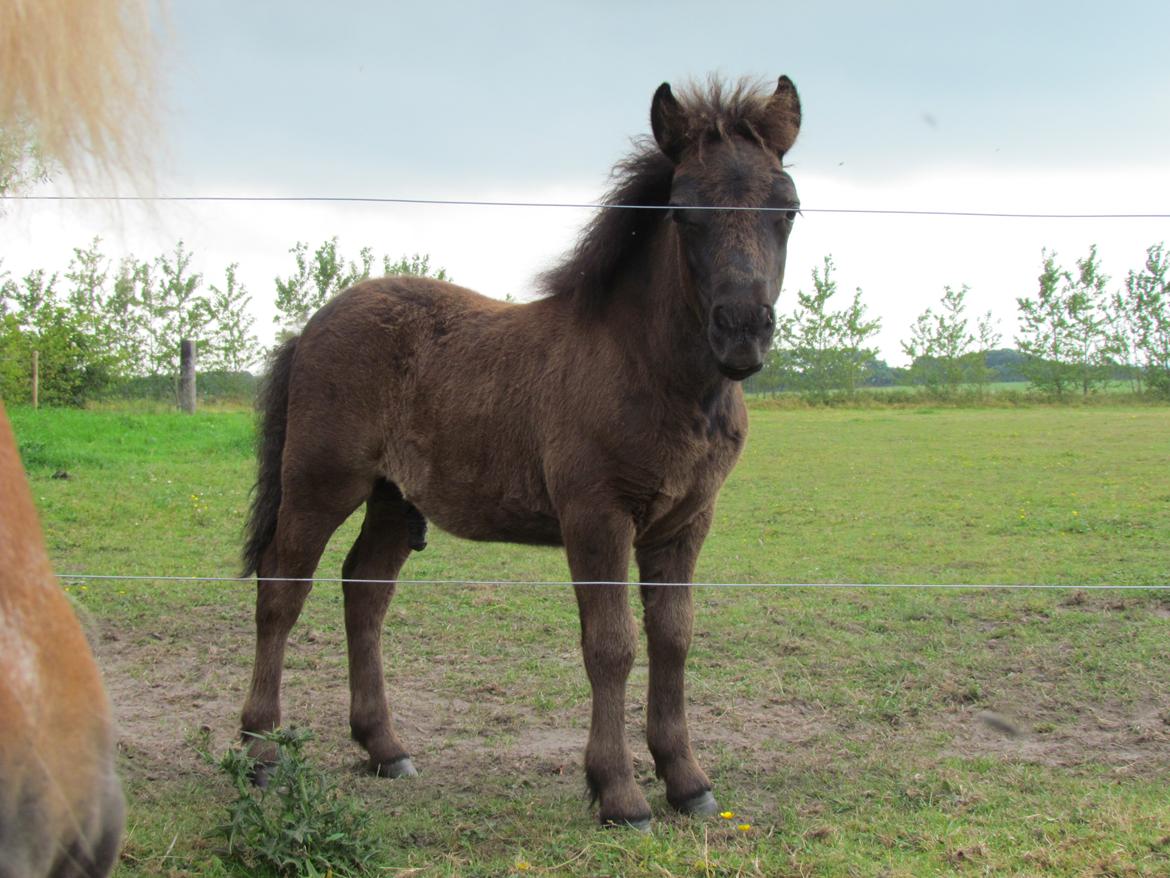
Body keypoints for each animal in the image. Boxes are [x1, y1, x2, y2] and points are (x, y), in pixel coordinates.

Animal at [241, 74, 800, 824]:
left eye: (788, 208)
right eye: (683, 213)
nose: (742, 330)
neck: (653, 371)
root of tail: (312, 326)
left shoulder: (685, 523)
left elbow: (674, 637)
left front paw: (687, 781)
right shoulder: (597, 516)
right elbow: (611, 644)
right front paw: (618, 792)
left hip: (392, 499)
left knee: (365, 589)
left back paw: (385, 748)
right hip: (319, 482)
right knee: (282, 587)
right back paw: (261, 752)